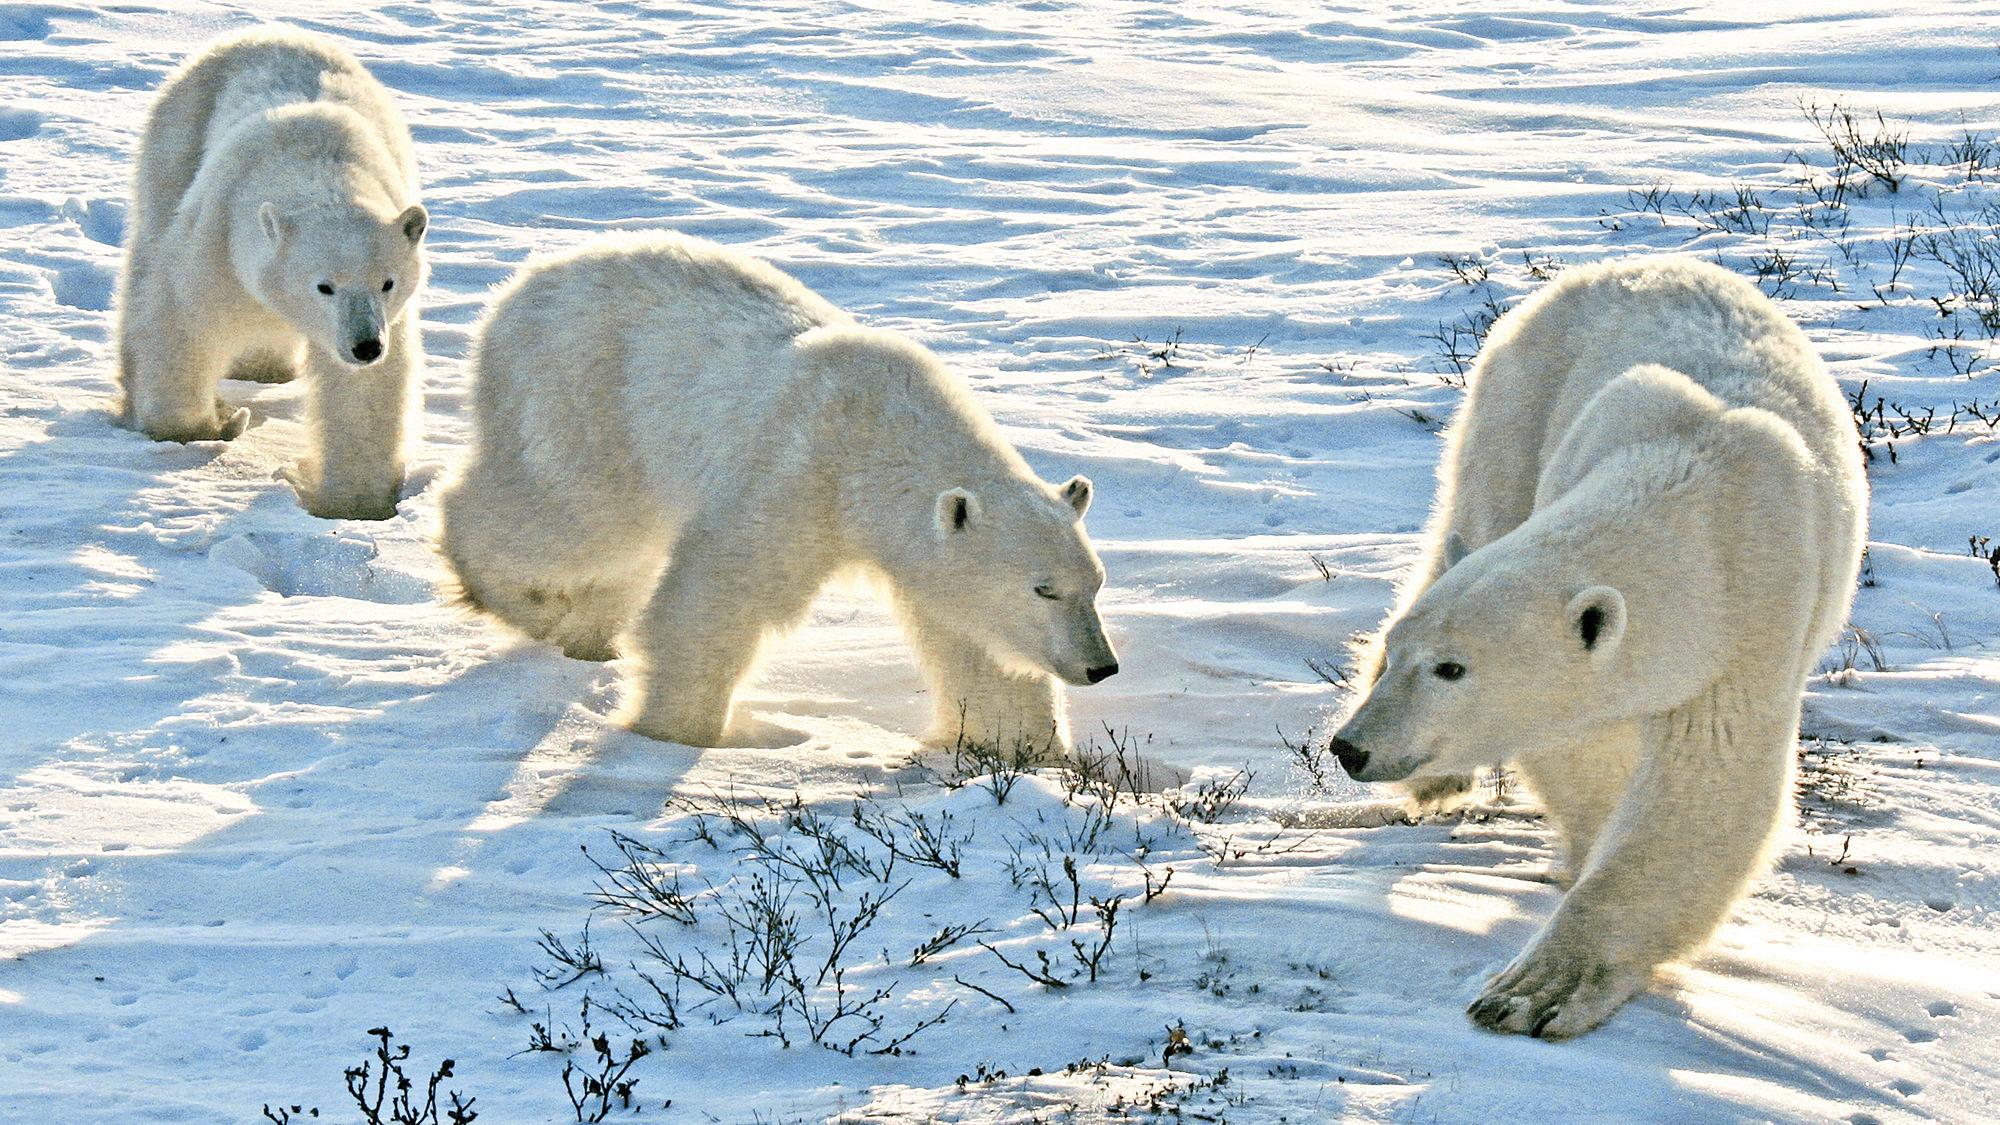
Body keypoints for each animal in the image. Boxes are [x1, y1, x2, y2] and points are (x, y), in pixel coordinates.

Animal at [114, 28, 429, 520]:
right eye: (324, 286)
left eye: (388, 281)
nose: (365, 346)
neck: (319, 161)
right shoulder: (220, 236)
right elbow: (183, 319)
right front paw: (201, 428)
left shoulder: (387, 317)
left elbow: (362, 394)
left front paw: (353, 504)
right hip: (177, 138)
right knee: (148, 253)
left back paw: (266, 366)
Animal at [437, 231, 1120, 754]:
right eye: (1044, 588)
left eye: (1093, 584)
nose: (1102, 666)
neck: (877, 438)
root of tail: (517, 290)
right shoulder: (797, 475)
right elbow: (718, 595)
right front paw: (670, 734)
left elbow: (978, 646)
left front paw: (1029, 755)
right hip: (586, 393)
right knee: (574, 517)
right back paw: (516, 598)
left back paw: (588, 638)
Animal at [1326, 256, 1867, 1039]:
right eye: (1405, 659)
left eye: (1452, 668)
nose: (1352, 748)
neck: (1694, 486)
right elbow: (1583, 751)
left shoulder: (1752, 622)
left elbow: (1703, 788)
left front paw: (1533, 989)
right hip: (1516, 404)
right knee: (1475, 518)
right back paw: (1436, 781)